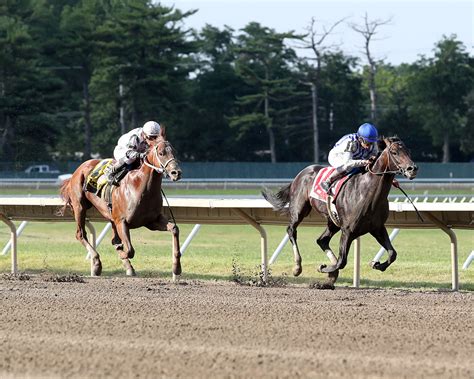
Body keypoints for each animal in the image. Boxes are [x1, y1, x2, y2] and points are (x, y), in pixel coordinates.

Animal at [60, 127, 182, 276]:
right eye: (161, 153)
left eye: (174, 151)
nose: (176, 173)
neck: (141, 187)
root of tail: (79, 168)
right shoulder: (122, 221)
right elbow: (129, 250)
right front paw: (122, 254)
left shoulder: (151, 221)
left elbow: (174, 229)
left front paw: (176, 267)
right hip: (80, 207)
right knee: (80, 234)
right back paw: (97, 263)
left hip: (110, 216)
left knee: (114, 240)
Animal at [262, 137, 418, 288]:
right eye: (394, 152)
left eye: (409, 151)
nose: (413, 168)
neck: (368, 193)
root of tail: (301, 174)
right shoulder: (347, 231)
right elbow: (342, 261)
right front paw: (324, 268)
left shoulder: (377, 227)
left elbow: (392, 254)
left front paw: (377, 264)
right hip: (299, 210)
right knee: (291, 230)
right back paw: (297, 267)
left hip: (333, 221)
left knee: (322, 240)